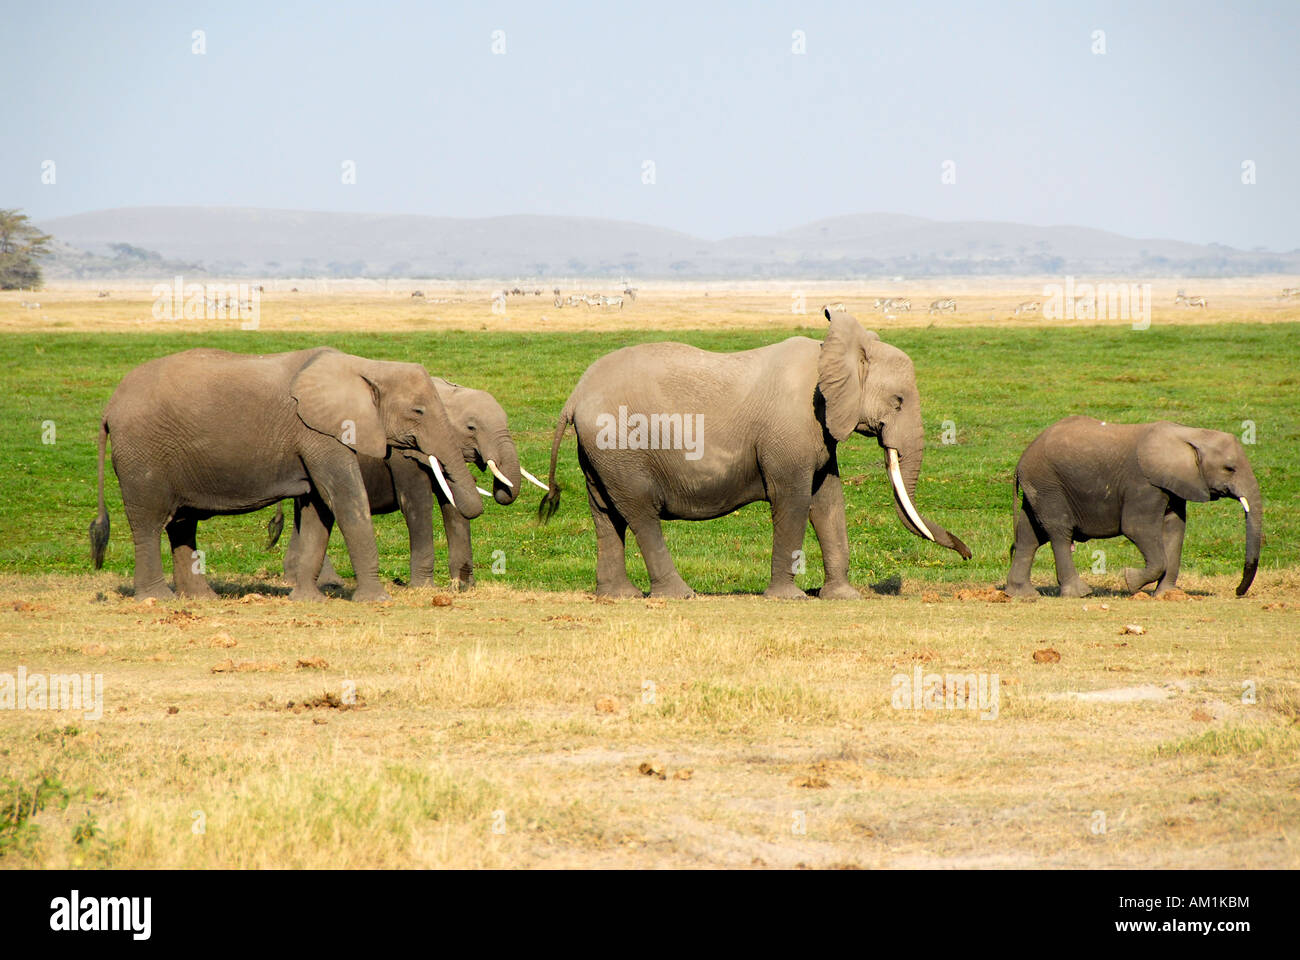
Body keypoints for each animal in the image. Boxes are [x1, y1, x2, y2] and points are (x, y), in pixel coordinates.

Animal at [87, 343, 483, 598]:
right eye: (418, 411)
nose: (460, 585)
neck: (367, 366)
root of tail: (108, 408)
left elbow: (318, 509)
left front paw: (308, 599)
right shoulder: (318, 431)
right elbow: (345, 500)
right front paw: (376, 599)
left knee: (183, 524)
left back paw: (201, 599)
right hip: (143, 455)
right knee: (149, 523)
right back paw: (157, 599)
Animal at [266, 377, 546, 587]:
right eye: (471, 428)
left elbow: (453, 505)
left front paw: (463, 587)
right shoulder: (402, 454)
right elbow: (417, 502)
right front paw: (424, 587)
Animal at [533, 308, 972, 598]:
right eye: (899, 401)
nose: (967, 554)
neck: (833, 349)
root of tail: (575, 396)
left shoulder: (819, 432)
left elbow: (828, 501)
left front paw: (843, 598)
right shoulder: (790, 430)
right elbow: (793, 500)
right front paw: (787, 599)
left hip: (600, 454)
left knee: (606, 514)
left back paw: (618, 597)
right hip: (620, 449)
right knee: (640, 513)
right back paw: (680, 595)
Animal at [1003, 413, 1258, 595]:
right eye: (1229, 468)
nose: (1238, 591)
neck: (1189, 434)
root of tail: (1021, 460)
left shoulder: (1173, 486)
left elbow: (1175, 530)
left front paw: (1166, 595)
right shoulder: (1143, 484)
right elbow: (1137, 527)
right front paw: (1130, 581)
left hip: (1039, 487)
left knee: (1029, 535)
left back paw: (1023, 595)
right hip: (1049, 484)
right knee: (1059, 532)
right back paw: (1080, 593)